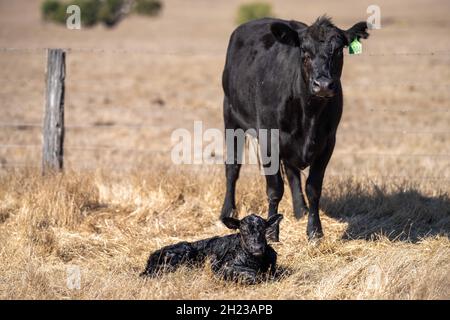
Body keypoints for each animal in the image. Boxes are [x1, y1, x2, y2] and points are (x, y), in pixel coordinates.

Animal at [221, 15, 370, 240]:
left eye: (338, 50)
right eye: (304, 51)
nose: (323, 85)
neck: (309, 113)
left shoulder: (328, 142)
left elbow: (313, 187)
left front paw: (314, 231)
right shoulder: (269, 139)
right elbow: (274, 189)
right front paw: (271, 233)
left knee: (292, 173)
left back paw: (301, 211)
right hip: (231, 117)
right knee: (232, 168)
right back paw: (227, 211)